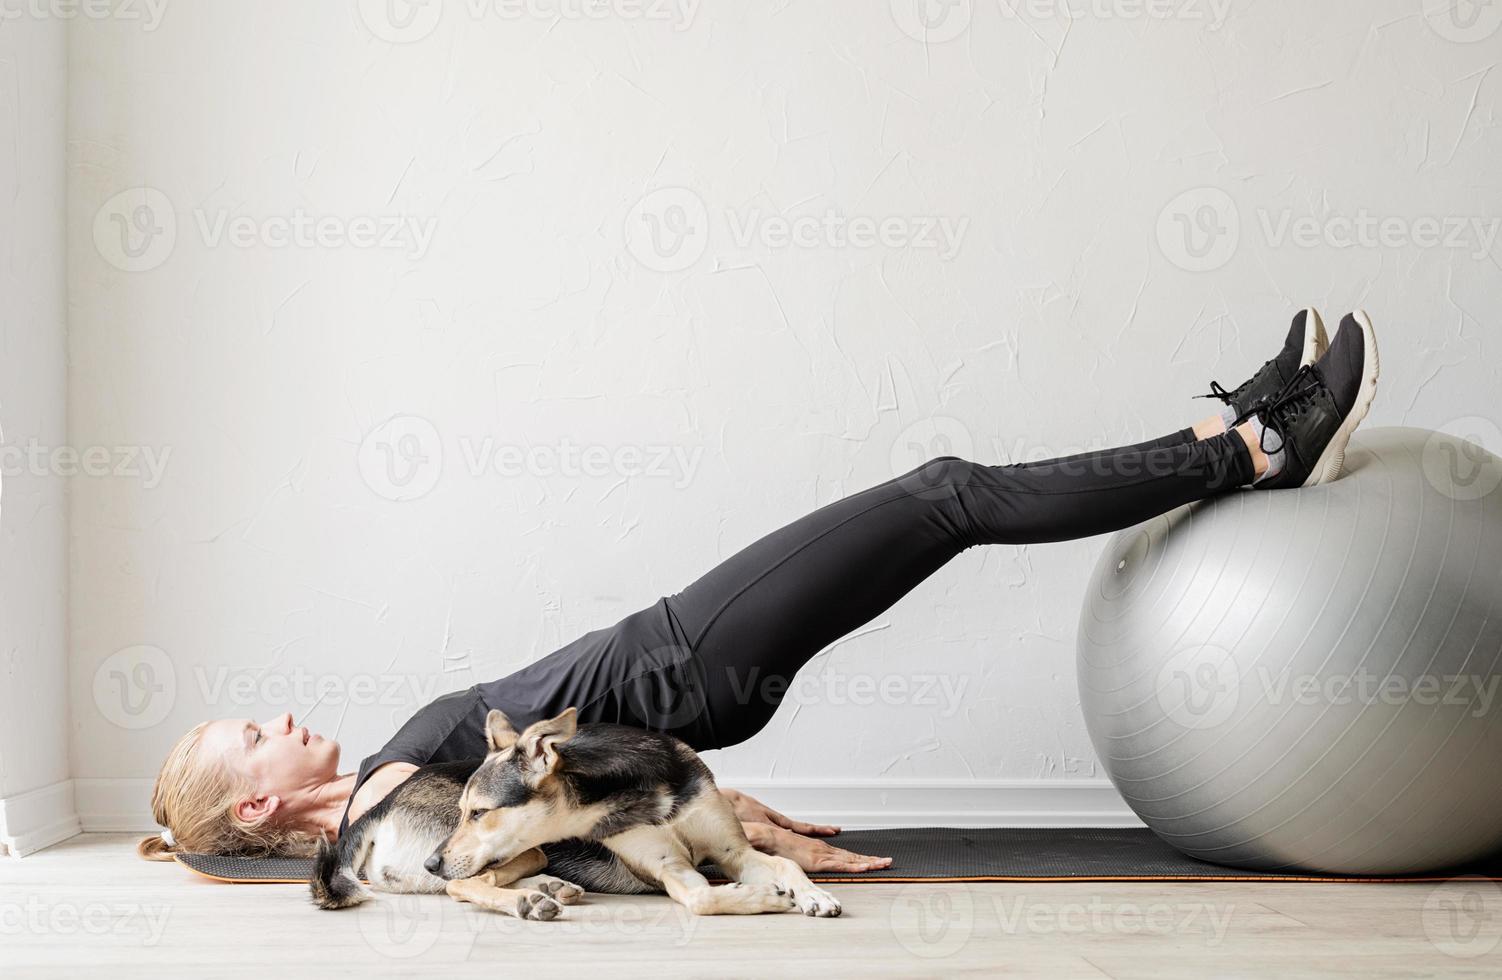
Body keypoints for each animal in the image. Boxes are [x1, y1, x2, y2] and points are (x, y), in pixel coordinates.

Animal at [313, 703, 847, 919]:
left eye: (479, 813)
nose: (431, 862)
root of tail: (380, 805)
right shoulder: (668, 868)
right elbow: (703, 898)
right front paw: (767, 899)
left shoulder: (733, 850)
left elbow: (785, 864)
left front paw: (813, 895)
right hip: (503, 853)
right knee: (463, 886)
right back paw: (528, 903)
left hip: (519, 853)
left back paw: (550, 890)